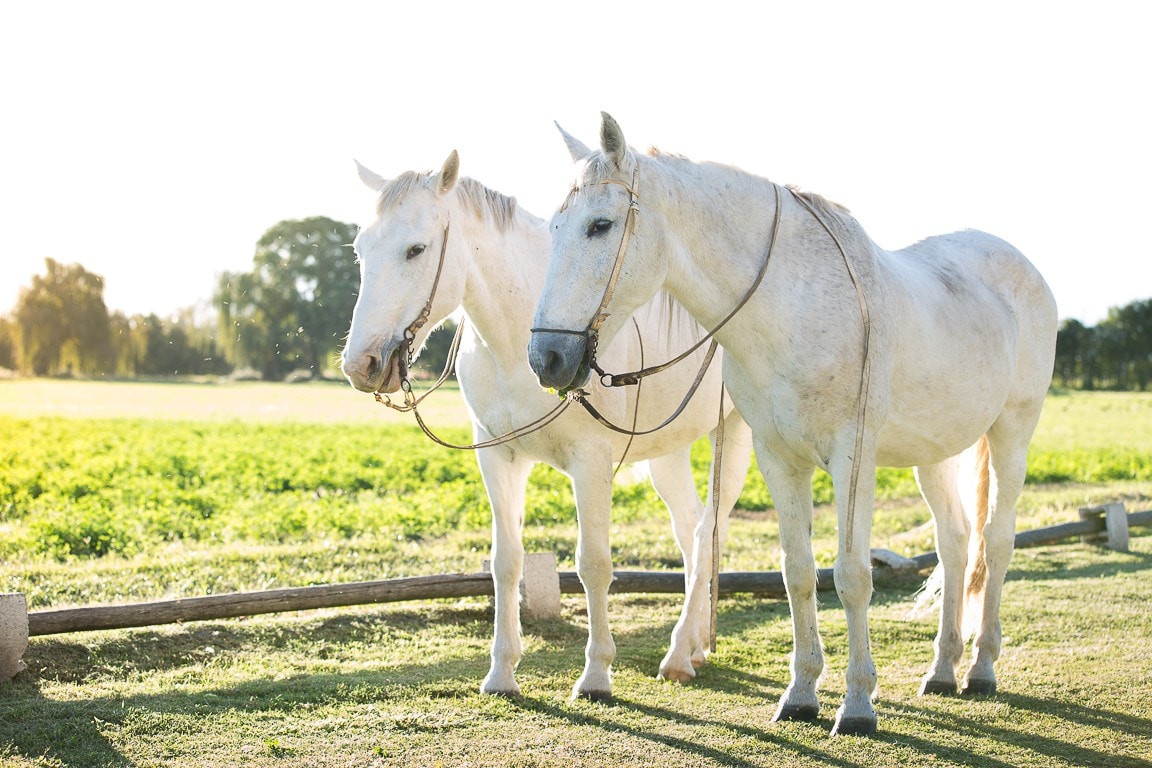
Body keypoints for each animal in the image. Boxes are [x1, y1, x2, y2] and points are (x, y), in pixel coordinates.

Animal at [338, 151, 755, 704]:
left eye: (416, 249)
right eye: (361, 250)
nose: (361, 364)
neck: (522, 339)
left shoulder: (592, 463)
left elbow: (593, 564)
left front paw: (596, 675)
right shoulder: (497, 457)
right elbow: (506, 562)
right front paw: (501, 673)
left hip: (738, 437)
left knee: (709, 530)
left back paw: (679, 655)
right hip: (667, 453)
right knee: (691, 533)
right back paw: (692, 647)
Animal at [527, 112, 1055, 732]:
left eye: (600, 225)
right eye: (556, 227)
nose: (547, 358)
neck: (791, 304)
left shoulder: (854, 457)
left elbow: (852, 576)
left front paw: (857, 705)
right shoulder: (778, 457)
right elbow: (799, 572)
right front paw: (801, 694)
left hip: (1012, 436)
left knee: (995, 543)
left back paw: (982, 668)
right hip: (935, 453)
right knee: (954, 544)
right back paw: (943, 670)